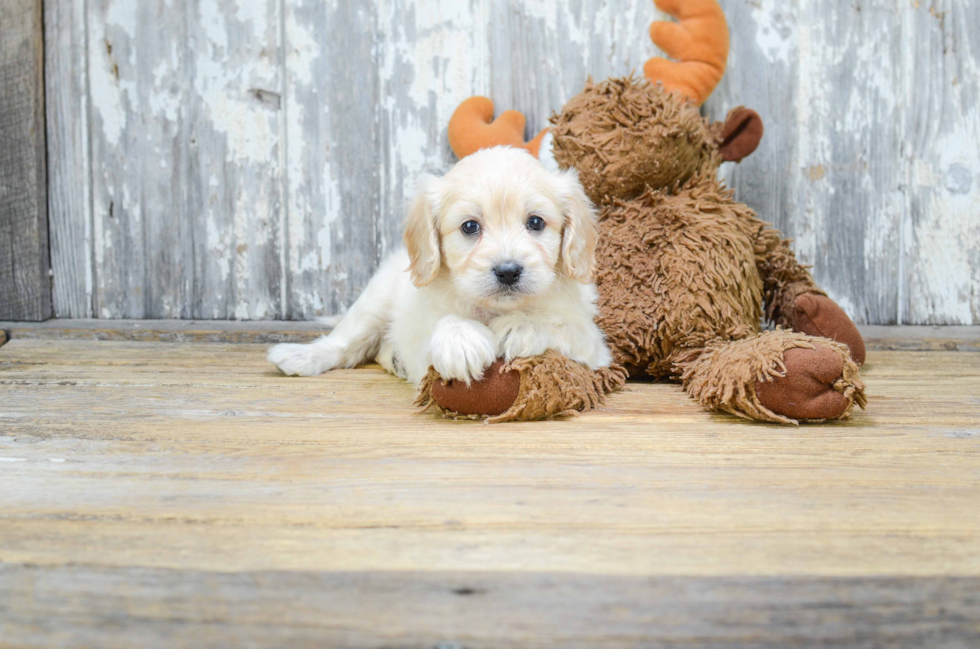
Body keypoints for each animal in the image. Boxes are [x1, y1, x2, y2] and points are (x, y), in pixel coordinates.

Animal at [268, 146, 612, 384]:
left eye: (536, 222)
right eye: (470, 227)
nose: (508, 271)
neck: (492, 309)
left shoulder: (594, 346)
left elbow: (562, 324)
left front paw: (523, 324)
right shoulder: (421, 345)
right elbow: (440, 324)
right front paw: (460, 339)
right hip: (374, 301)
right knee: (347, 342)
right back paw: (298, 355)